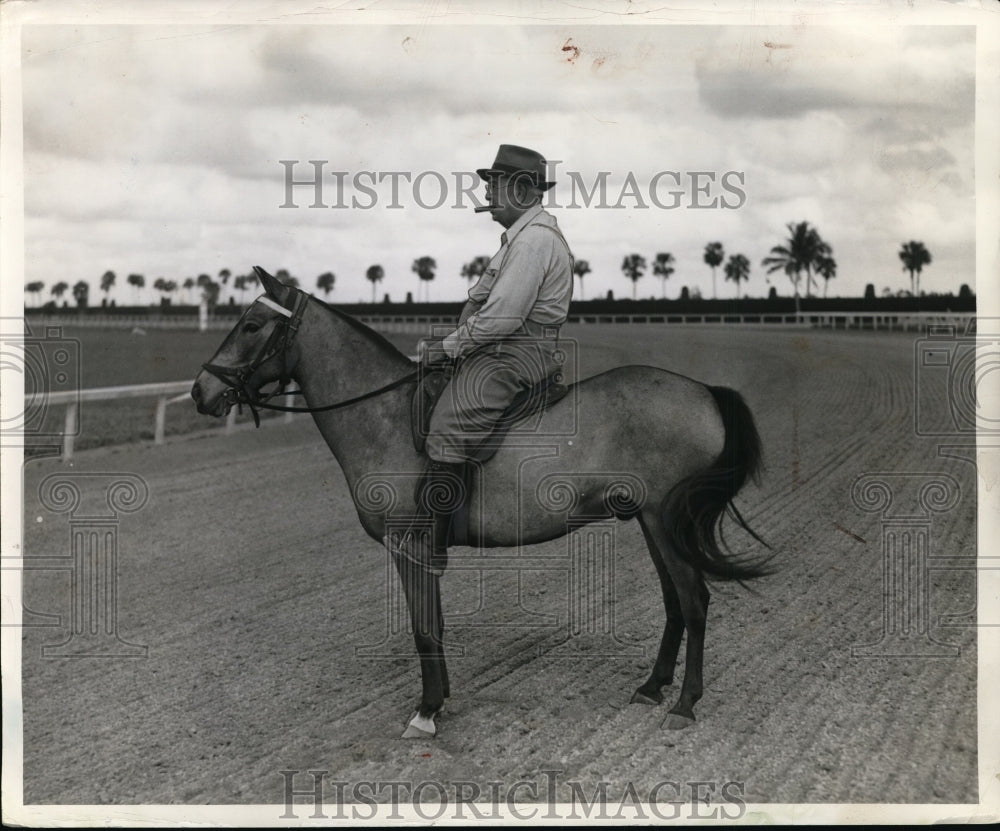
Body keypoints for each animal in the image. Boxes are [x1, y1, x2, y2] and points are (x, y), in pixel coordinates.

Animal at [191, 266, 768, 740]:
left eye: (251, 325)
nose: (200, 392)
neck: (386, 414)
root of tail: (705, 391)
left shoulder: (410, 545)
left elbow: (424, 628)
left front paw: (426, 711)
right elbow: (435, 624)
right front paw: (440, 699)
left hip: (666, 522)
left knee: (694, 601)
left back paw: (684, 704)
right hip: (652, 523)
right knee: (674, 601)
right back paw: (652, 686)